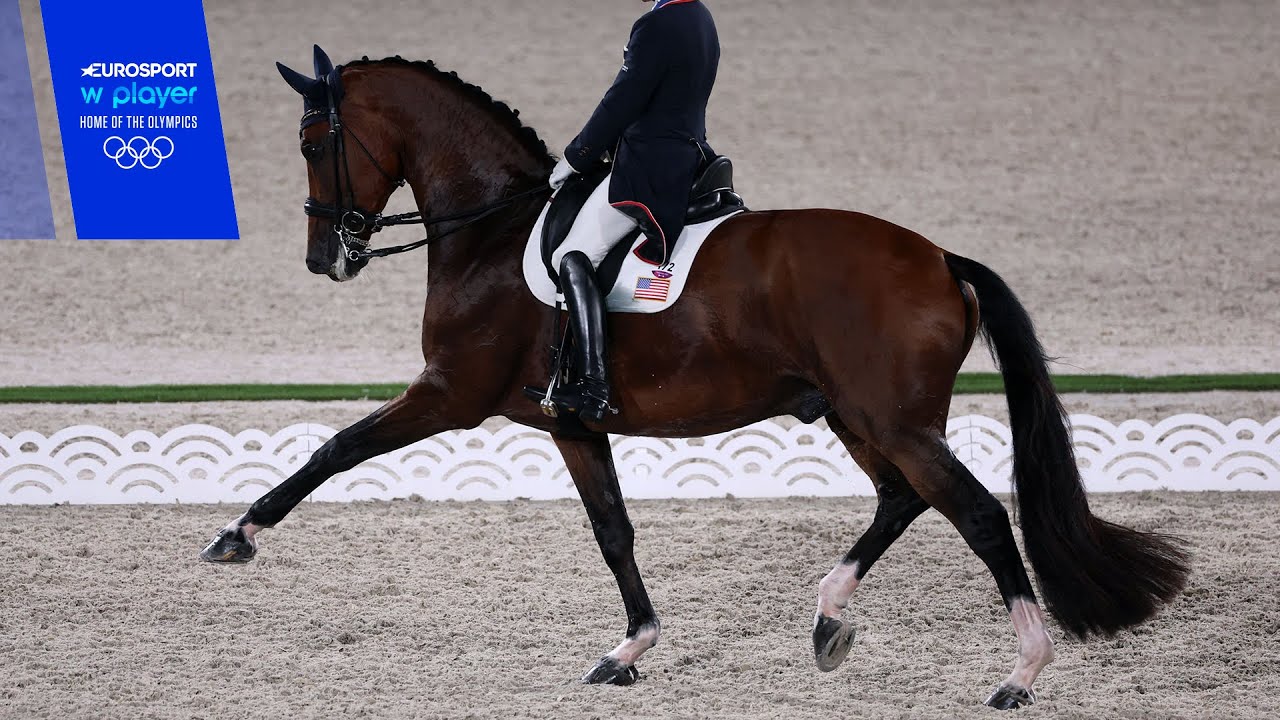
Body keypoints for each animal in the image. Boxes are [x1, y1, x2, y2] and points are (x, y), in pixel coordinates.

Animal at [200, 47, 1189, 709]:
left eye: (312, 140)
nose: (326, 258)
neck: (492, 230)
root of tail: (941, 258)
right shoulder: (572, 422)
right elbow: (614, 532)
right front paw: (629, 650)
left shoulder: (450, 393)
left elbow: (335, 449)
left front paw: (237, 535)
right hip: (859, 417)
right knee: (903, 500)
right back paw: (829, 619)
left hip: (894, 420)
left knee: (978, 514)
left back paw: (1020, 672)